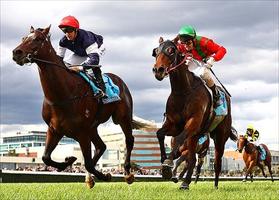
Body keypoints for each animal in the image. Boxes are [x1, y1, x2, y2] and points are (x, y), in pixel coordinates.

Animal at [12, 25, 137, 188]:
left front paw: (105, 175)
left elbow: (88, 163)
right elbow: (46, 157)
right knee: (101, 146)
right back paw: (90, 177)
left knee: (129, 140)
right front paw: (69, 161)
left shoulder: (82, 132)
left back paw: (127, 173)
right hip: (93, 127)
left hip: (122, 117)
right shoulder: (54, 130)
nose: (16, 53)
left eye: (38, 39)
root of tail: (119, 80)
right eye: (23, 38)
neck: (63, 94)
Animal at [152, 38, 237, 189]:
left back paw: (215, 186)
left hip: (220, 137)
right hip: (195, 137)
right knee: (191, 160)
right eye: (155, 51)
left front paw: (168, 162)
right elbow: (160, 134)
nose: (158, 70)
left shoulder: (193, 122)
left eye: (171, 50)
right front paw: (165, 164)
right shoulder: (174, 124)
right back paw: (185, 183)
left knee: (217, 163)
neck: (183, 91)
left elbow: (180, 139)